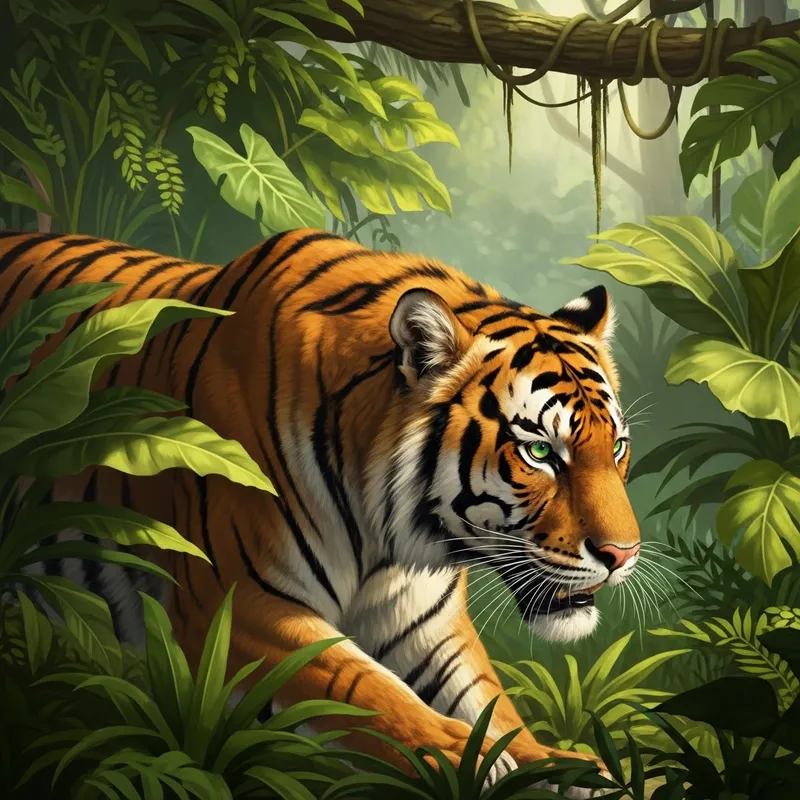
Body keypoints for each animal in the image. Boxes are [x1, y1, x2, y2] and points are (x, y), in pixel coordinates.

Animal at [0, 228, 641, 796]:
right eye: (540, 452)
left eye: (615, 447)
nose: (623, 554)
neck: (390, 535)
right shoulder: (242, 602)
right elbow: (367, 690)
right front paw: (469, 759)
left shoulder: (424, 621)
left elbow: (487, 698)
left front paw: (564, 766)